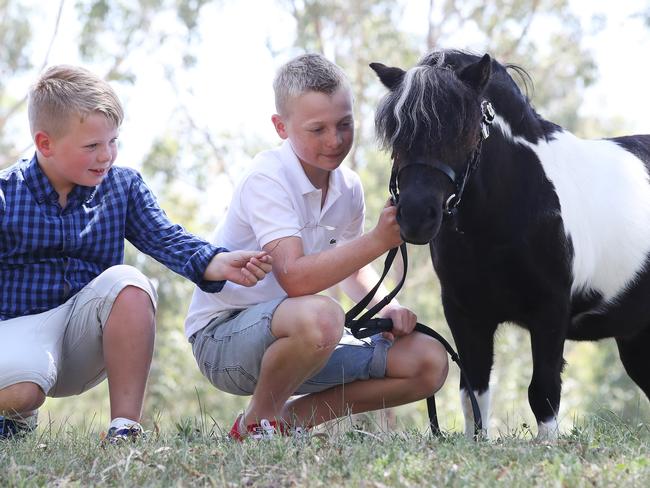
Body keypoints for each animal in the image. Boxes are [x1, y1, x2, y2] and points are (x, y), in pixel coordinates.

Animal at [370, 50, 648, 442]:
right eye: (397, 133)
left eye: (467, 132)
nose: (415, 217)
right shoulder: (464, 313)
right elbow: (473, 393)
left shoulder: (550, 312)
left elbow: (543, 392)